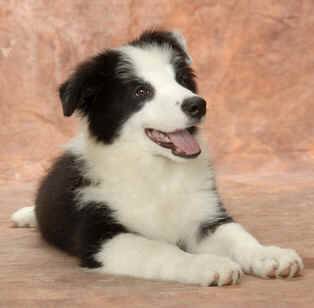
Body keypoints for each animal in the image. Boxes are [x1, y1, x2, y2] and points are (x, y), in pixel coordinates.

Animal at [11, 30, 302, 286]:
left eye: (181, 79)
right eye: (141, 91)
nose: (198, 105)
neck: (158, 171)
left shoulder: (205, 215)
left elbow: (238, 235)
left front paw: (269, 254)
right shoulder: (101, 237)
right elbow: (159, 249)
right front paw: (207, 264)